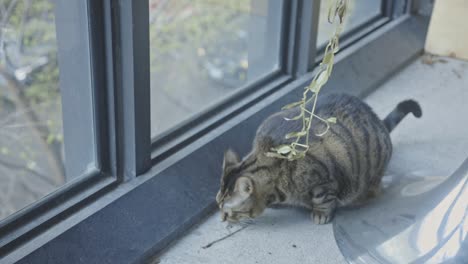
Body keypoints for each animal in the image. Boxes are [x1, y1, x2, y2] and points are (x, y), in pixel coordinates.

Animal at [218, 94, 422, 224]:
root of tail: (378, 121)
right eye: (218, 206)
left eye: (228, 212)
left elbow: (323, 199)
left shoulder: (324, 180)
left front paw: (320, 214)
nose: (221, 219)